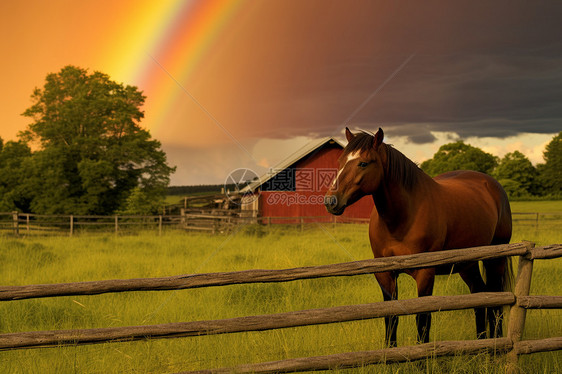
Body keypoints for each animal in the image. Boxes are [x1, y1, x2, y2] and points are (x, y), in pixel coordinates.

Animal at [324, 129, 512, 348]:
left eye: (363, 163)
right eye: (340, 160)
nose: (331, 201)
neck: (402, 217)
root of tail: (492, 185)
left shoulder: (425, 273)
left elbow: (422, 319)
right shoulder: (385, 274)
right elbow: (391, 316)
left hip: (495, 260)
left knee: (496, 302)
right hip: (468, 264)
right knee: (480, 296)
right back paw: (482, 344)